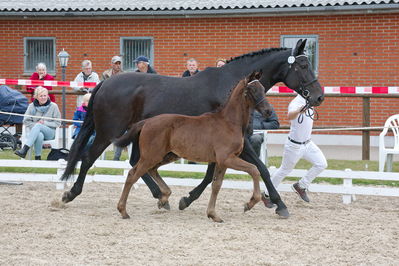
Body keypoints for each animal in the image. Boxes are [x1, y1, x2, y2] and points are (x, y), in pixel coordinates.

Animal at [114, 73, 274, 222]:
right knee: (133, 175)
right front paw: (250, 203)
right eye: (252, 89)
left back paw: (163, 198)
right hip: (151, 156)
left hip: (167, 155)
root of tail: (146, 122)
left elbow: (216, 185)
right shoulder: (227, 158)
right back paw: (123, 211)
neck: (229, 122)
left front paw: (213, 215)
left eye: (263, 88)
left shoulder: (221, 162)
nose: (268, 111)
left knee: (152, 170)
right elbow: (254, 169)